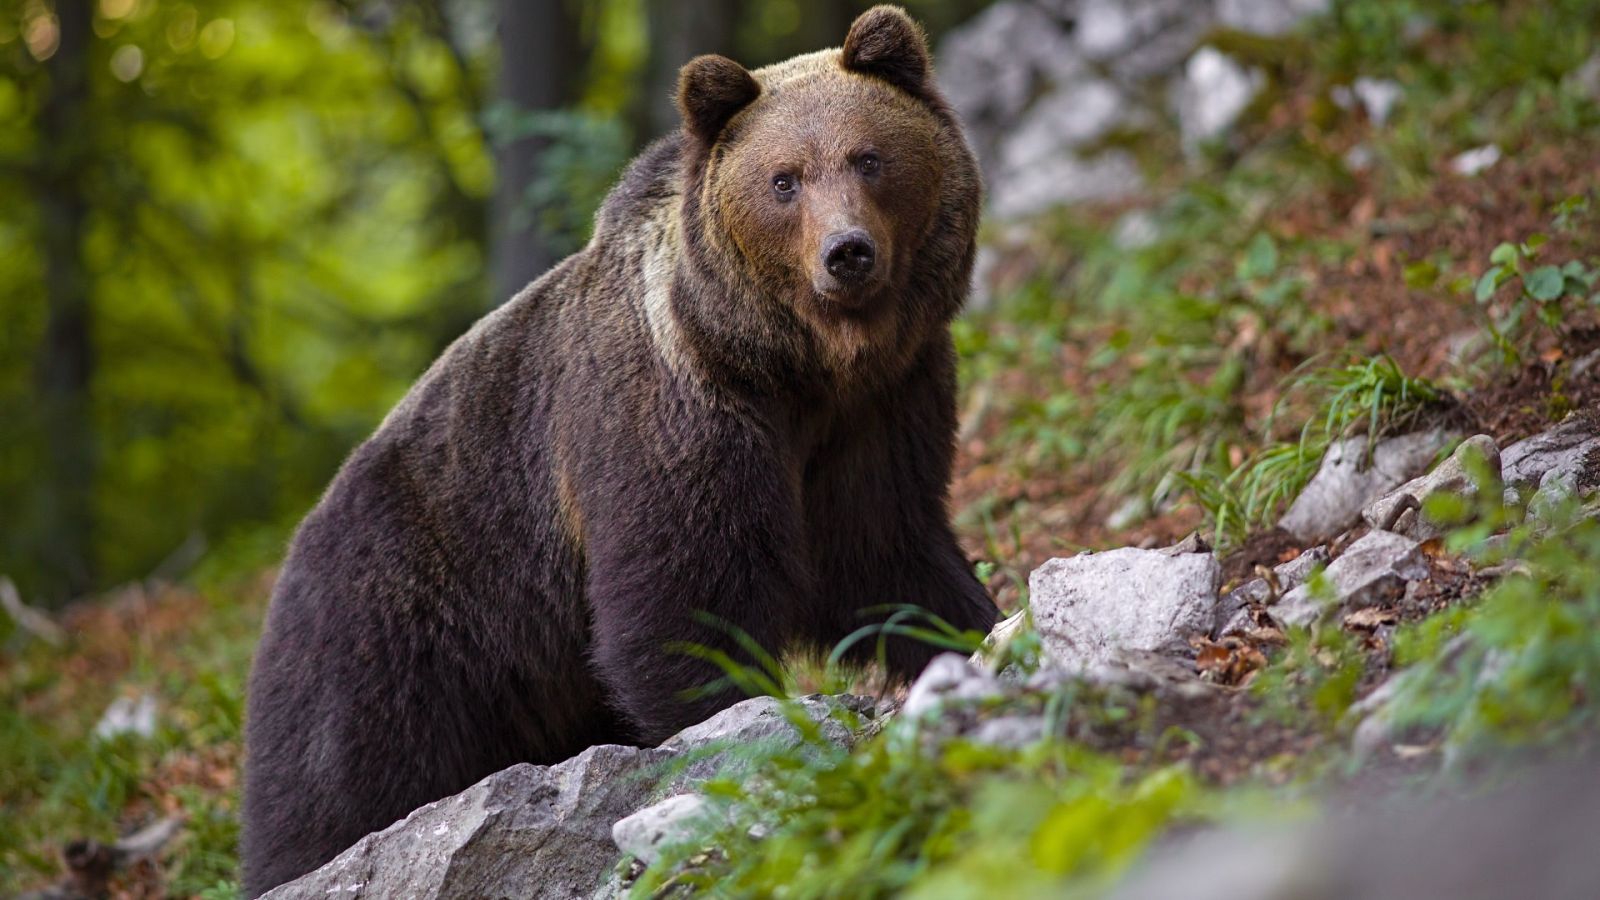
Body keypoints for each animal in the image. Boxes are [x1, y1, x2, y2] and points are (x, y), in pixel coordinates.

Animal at [240, 5, 985, 890]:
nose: (847, 252)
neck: (794, 368)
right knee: (336, 787)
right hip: (391, 632)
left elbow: (889, 551)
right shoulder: (672, 415)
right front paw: (728, 730)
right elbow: (684, 597)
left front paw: (972, 630)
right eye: (784, 179)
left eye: (869, 157)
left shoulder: (881, 410)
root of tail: (288, 554)